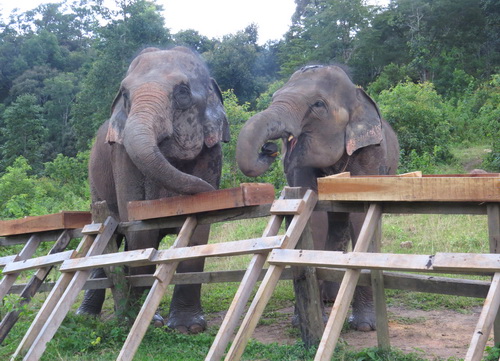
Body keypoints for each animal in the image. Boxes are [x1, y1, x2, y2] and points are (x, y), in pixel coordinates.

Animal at [76, 45, 230, 332]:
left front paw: (188, 328)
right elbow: (140, 230)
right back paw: (87, 317)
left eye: (182, 91)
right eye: (125, 94)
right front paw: (146, 322)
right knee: (110, 238)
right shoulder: (122, 156)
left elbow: (199, 231)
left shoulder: (212, 153)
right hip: (96, 186)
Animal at [236, 64, 400, 330]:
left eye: (318, 104)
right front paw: (301, 321)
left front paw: (364, 326)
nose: (270, 149)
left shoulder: (371, 153)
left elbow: (362, 216)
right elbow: (313, 217)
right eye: (274, 97)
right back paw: (328, 299)